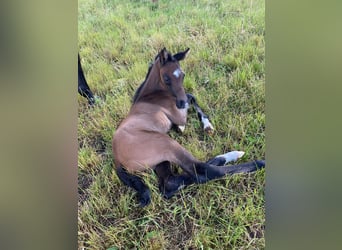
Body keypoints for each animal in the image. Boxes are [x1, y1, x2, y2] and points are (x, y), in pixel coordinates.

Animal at [112, 47, 264, 207]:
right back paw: (251, 160)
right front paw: (204, 126)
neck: (151, 96)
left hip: (161, 161)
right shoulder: (179, 115)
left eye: (183, 75)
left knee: (170, 183)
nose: (181, 103)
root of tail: (116, 158)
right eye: (166, 78)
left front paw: (202, 126)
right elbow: (191, 97)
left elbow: (191, 96)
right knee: (202, 170)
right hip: (165, 143)